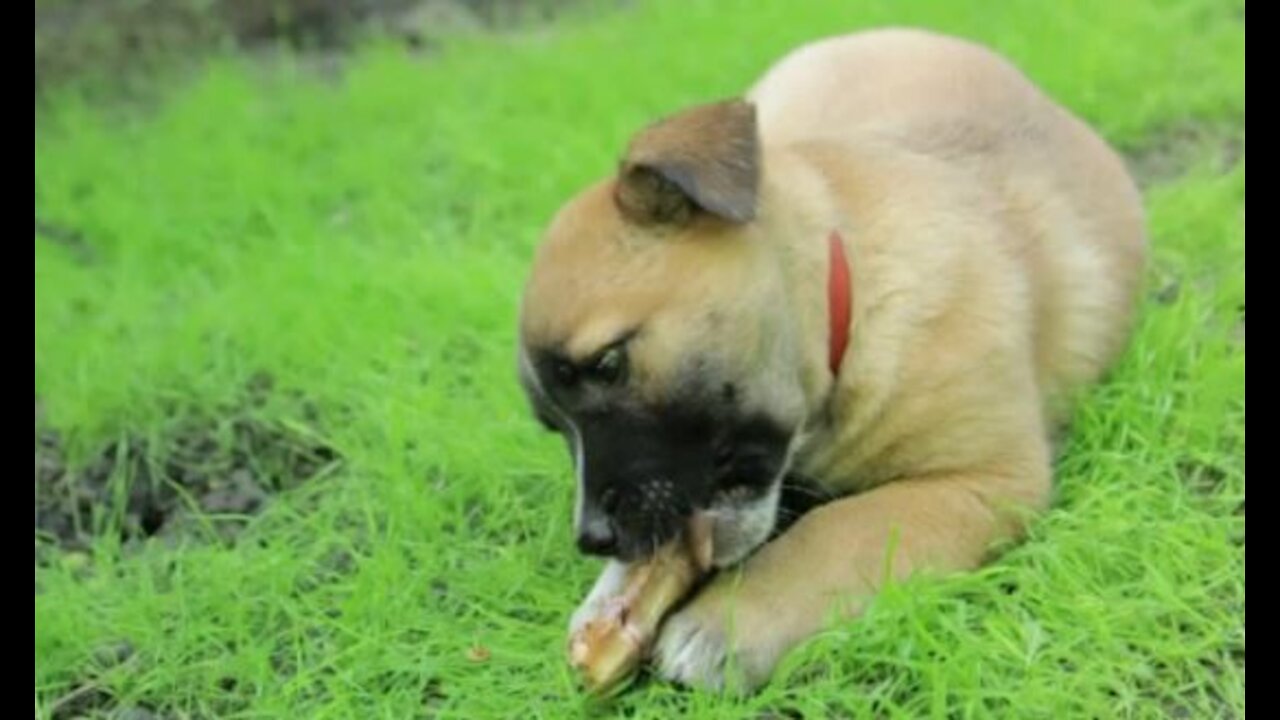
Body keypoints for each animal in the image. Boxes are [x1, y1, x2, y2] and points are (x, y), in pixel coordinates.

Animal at [514, 28, 1146, 691]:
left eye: (608, 363)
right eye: (553, 425)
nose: (592, 539)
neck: (853, 295)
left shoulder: (984, 480)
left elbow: (836, 531)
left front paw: (731, 621)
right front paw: (612, 601)